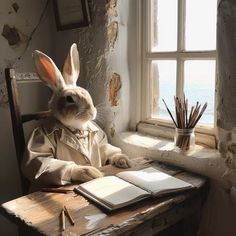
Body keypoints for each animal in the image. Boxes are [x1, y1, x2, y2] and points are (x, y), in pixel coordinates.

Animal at [21, 43, 131, 189]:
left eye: (87, 93)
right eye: (69, 99)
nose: (91, 112)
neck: (77, 128)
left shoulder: (102, 143)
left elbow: (107, 151)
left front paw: (123, 160)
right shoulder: (39, 139)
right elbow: (41, 160)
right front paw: (89, 172)